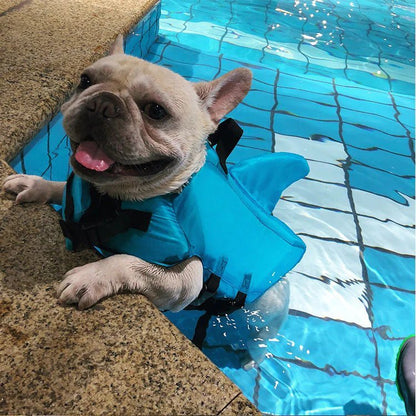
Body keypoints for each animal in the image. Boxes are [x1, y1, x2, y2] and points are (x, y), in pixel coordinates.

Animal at [3, 35, 306, 368]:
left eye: (156, 111)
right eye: (85, 80)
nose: (103, 102)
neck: (113, 199)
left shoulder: (185, 281)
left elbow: (129, 262)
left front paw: (92, 276)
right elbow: (61, 187)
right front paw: (35, 184)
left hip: (268, 312)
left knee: (262, 338)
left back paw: (252, 359)